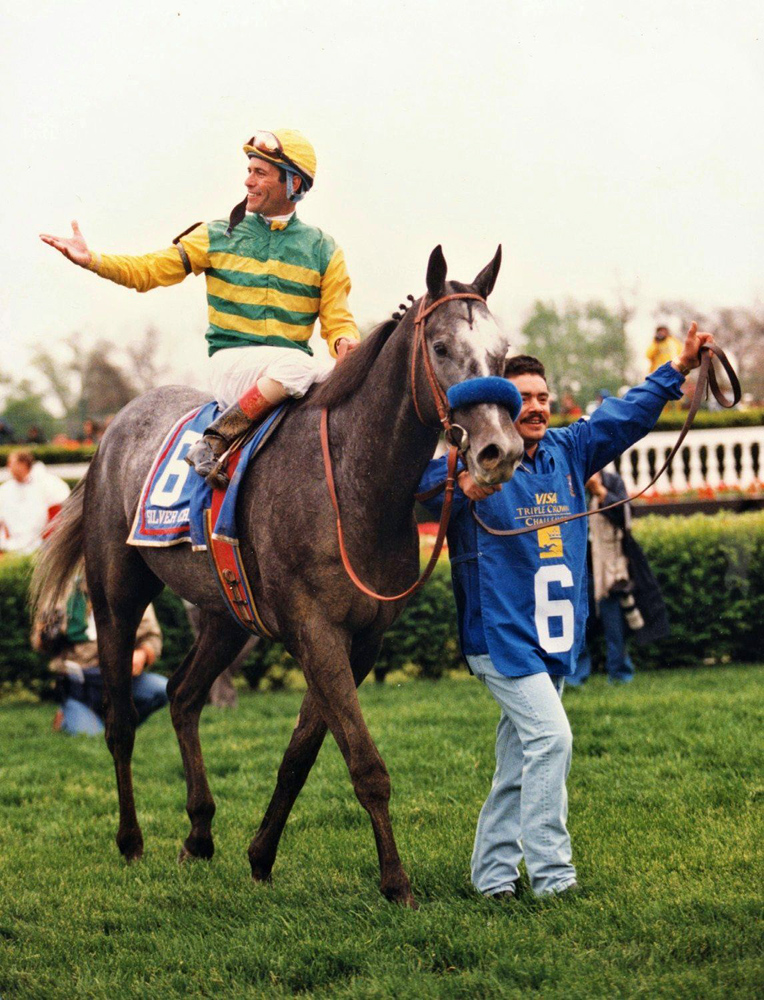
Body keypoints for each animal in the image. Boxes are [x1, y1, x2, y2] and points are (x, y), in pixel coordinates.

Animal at [34, 244, 524, 908]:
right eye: (443, 347)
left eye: (502, 351)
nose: (500, 450)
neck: (351, 479)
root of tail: (113, 428)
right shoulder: (316, 631)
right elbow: (365, 764)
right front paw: (396, 883)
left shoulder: (360, 639)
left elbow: (301, 753)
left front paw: (260, 856)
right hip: (116, 597)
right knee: (120, 721)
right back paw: (131, 841)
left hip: (225, 614)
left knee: (183, 696)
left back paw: (199, 835)